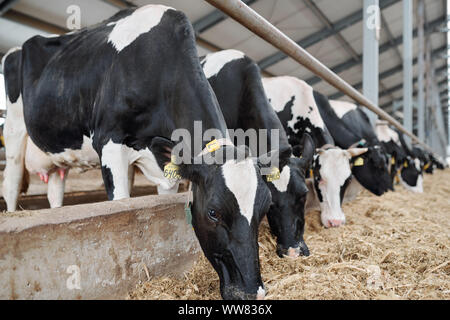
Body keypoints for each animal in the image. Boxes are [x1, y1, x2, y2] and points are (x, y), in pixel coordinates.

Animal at [4, 5, 278, 300]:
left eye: (266, 207)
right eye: (213, 212)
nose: (253, 293)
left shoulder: (166, 166)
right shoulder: (109, 141)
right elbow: (120, 203)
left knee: (55, 191)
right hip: (14, 129)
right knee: (11, 182)